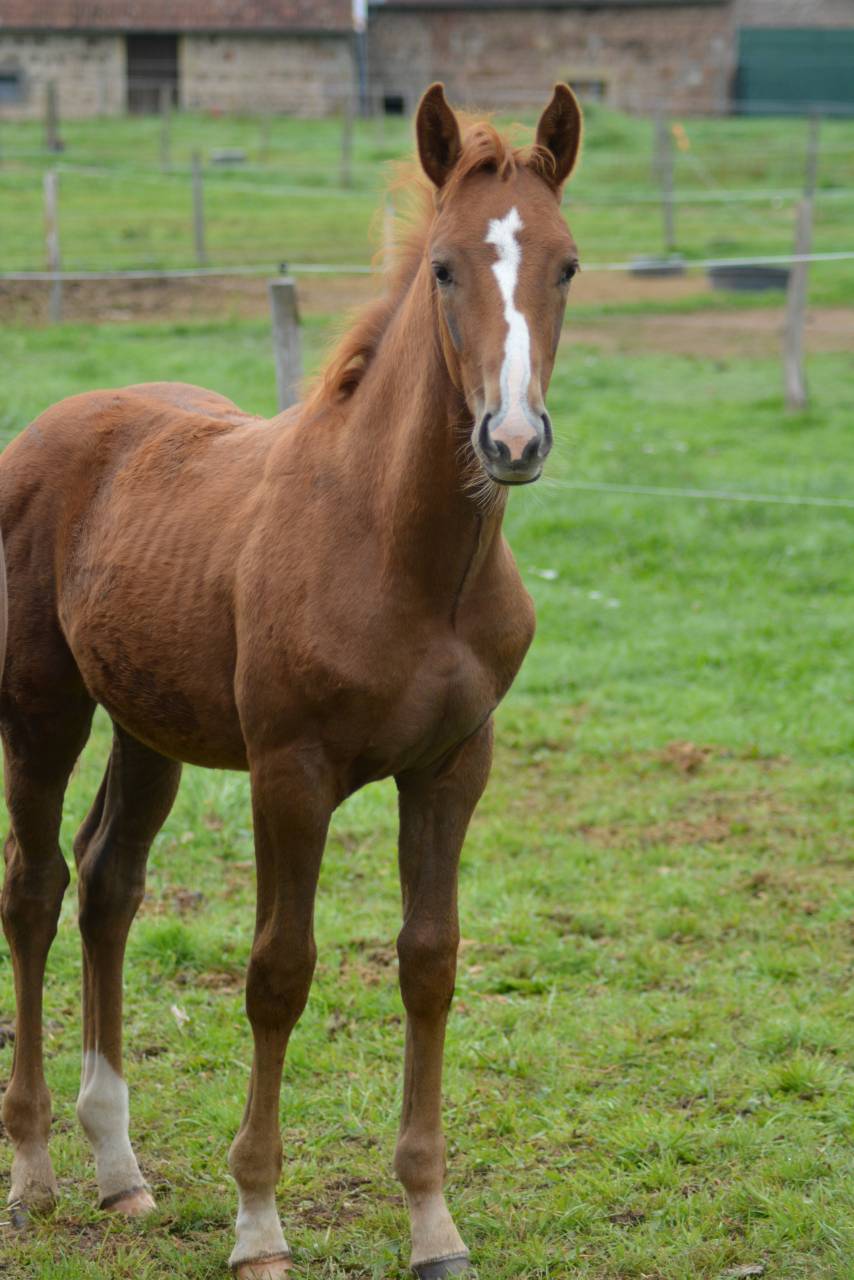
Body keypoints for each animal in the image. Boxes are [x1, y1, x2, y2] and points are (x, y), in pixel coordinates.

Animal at [0, 83, 582, 1278]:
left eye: (566, 264)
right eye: (443, 266)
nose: (511, 438)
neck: (403, 553)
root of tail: (52, 424)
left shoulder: (454, 766)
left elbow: (429, 962)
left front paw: (432, 1223)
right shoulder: (291, 771)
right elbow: (278, 972)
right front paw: (258, 1223)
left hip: (148, 727)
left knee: (109, 884)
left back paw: (119, 1167)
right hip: (41, 710)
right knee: (33, 890)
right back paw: (33, 1169)